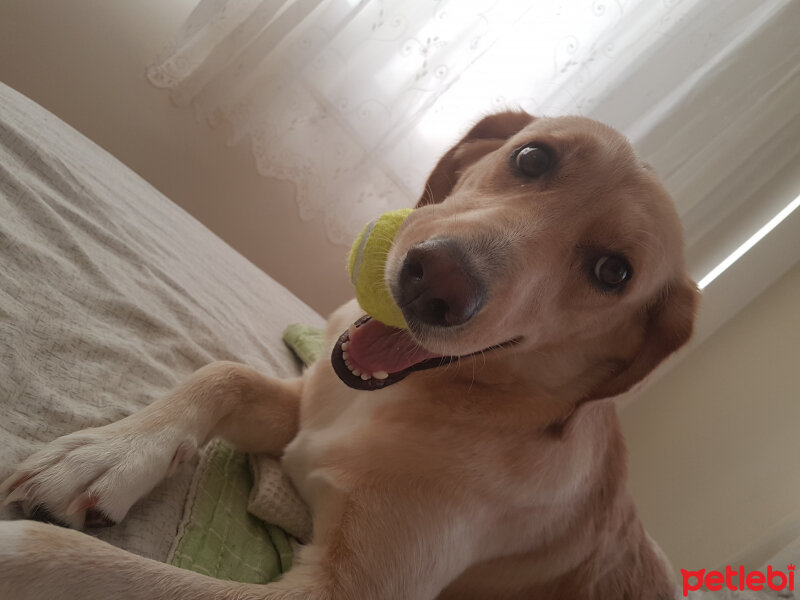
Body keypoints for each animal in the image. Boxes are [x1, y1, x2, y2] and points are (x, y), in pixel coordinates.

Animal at [0, 110, 696, 596]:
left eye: (613, 272)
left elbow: (63, 557)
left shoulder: (335, 591)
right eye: (531, 157)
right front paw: (107, 454)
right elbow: (224, 374)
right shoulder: (305, 410)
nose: (435, 281)